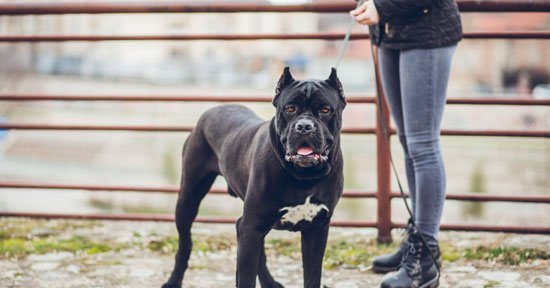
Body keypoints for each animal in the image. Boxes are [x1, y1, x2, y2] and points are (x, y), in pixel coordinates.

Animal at [162, 67, 348, 288]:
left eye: (325, 110)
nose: (304, 126)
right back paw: (173, 281)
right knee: (185, 243)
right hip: (189, 197)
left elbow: (312, 276)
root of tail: (214, 109)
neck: (304, 176)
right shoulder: (251, 228)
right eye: (290, 108)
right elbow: (246, 276)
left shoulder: (316, 230)